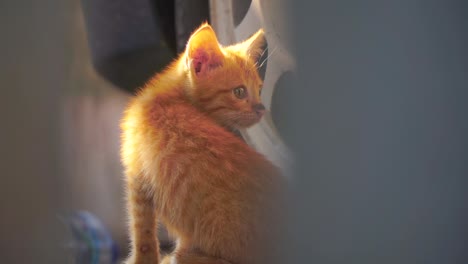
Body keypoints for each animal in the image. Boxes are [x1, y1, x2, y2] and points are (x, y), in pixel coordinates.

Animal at [119, 23, 282, 264]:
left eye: (259, 90)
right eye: (239, 91)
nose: (262, 108)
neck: (172, 96)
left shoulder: (138, 175)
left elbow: (143, 232)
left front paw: (143, 259)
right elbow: (145, 231)